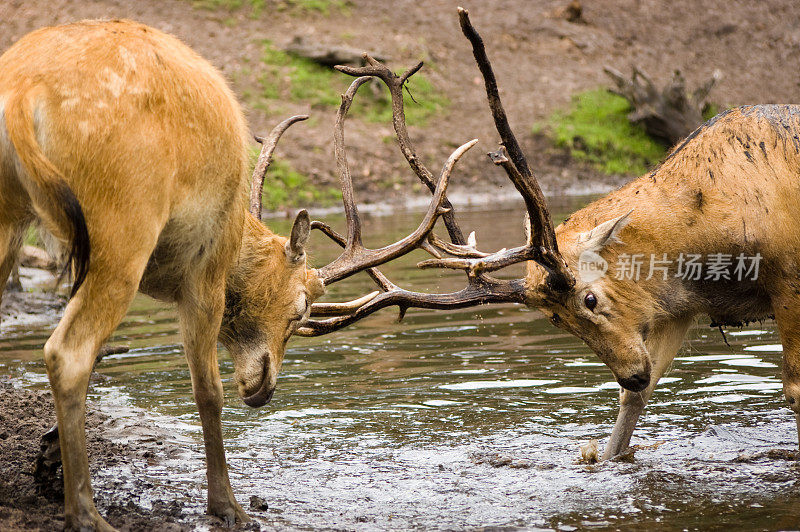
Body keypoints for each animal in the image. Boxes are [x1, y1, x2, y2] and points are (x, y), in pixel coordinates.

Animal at [0, 18, 476, 528]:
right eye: (301, 307)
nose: (265, 390)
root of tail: (23, 91)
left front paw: (46, 455)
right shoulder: (206, 265)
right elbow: (208, 390)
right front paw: (229, 506)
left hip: (14, 221)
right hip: (123, 221)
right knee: (68, 352)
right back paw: (87, 513)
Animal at [298, 8, 800, 464]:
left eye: (590, 299)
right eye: (556, 321)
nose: (629, 374)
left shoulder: (787, 275)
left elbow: (793, 389)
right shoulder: (679, 309)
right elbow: (634, 403)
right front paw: (606, 455)